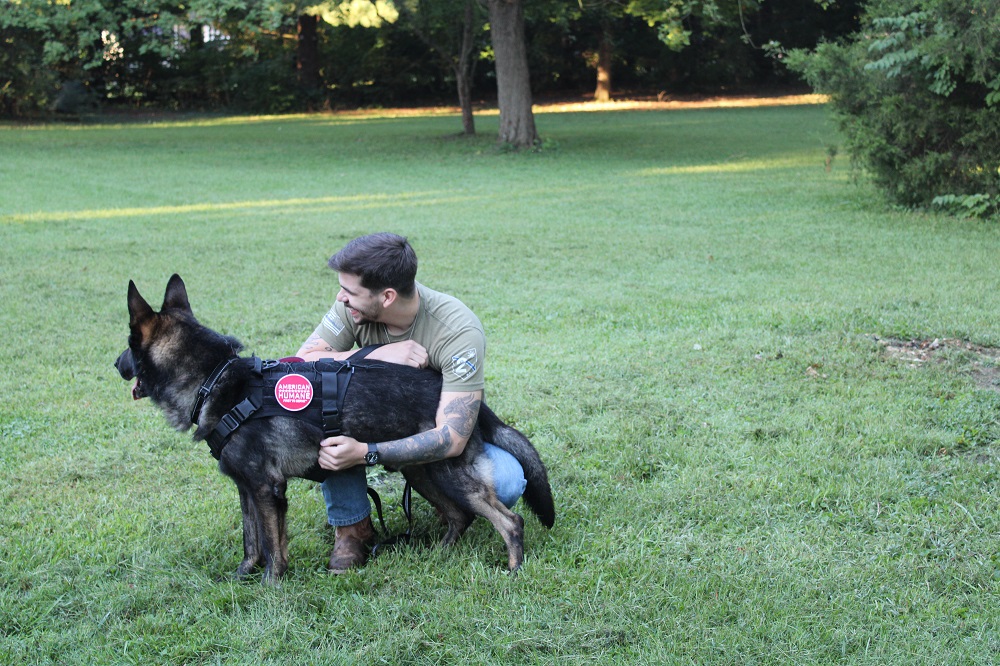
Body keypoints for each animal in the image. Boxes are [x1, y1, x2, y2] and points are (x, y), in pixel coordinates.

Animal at [116, 272, 560, 580]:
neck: (215, 379)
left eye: (127, 345)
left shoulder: (267, 490)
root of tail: (469, 400)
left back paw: (513, 568)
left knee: (509, 520)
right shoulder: (245, 488)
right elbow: (251, 541)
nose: (115, 364)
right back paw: (439, 553)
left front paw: (271, 587)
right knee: (458, 516)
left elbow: (274, 548)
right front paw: (242, 576)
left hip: (447, 472)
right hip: (423, 470)